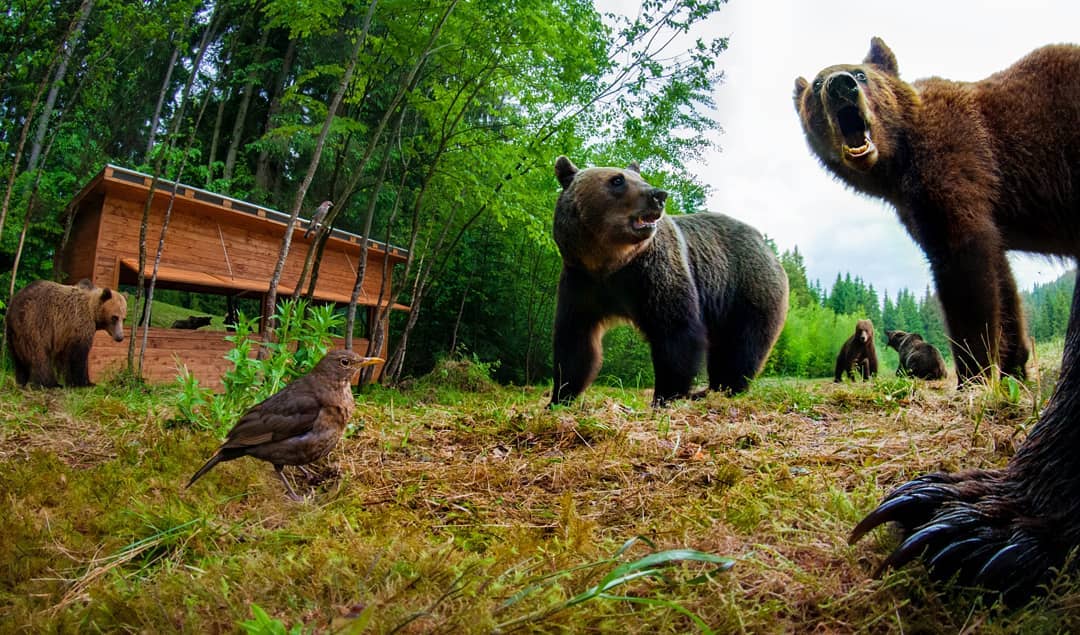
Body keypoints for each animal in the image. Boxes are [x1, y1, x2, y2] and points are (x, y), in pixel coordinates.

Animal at [552, 157, 790, 406]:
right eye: (617, 179)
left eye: (641, 178)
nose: (659, 195)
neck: (610, 264)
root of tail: (764, 244)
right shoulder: (582, 283)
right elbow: (576, 341)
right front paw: (560, 397)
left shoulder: (654, 275)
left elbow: (676, 332)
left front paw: (666, 396)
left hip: (746, 289)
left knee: (740, 346)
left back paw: (725, 388)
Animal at [794, 37, 1080, 604]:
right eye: (816, 84)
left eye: (861, 72)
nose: (841, 85)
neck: (897, 159)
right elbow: (1004, 284)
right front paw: (1015, 371)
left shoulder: (957, 168)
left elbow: (966, 271)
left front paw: (975, 381)